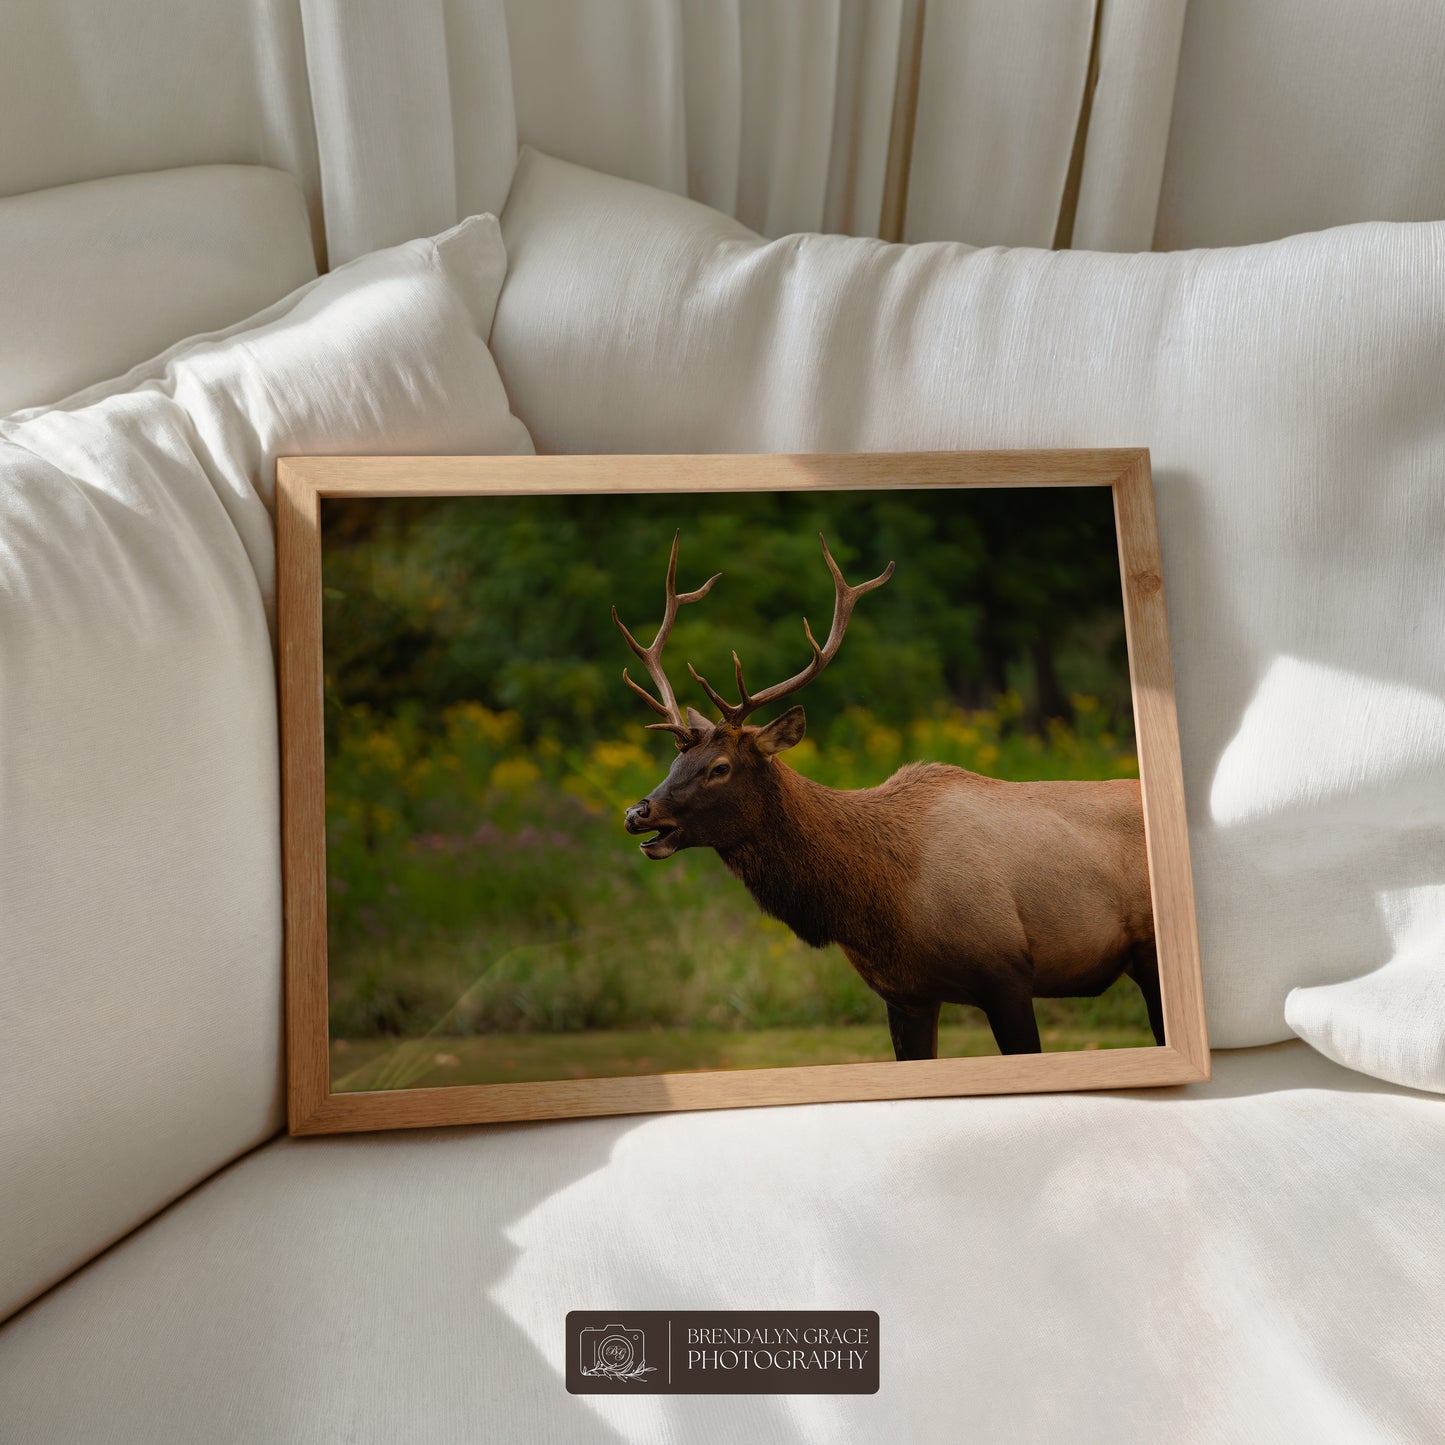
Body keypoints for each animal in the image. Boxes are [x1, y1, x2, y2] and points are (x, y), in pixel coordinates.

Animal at [612, 533, 1162, 1059]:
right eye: (673, 762)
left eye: (720, 767)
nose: (637, 812)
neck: (884, 903)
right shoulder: (904, 994)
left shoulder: (1007, 973)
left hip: (1150, 950)